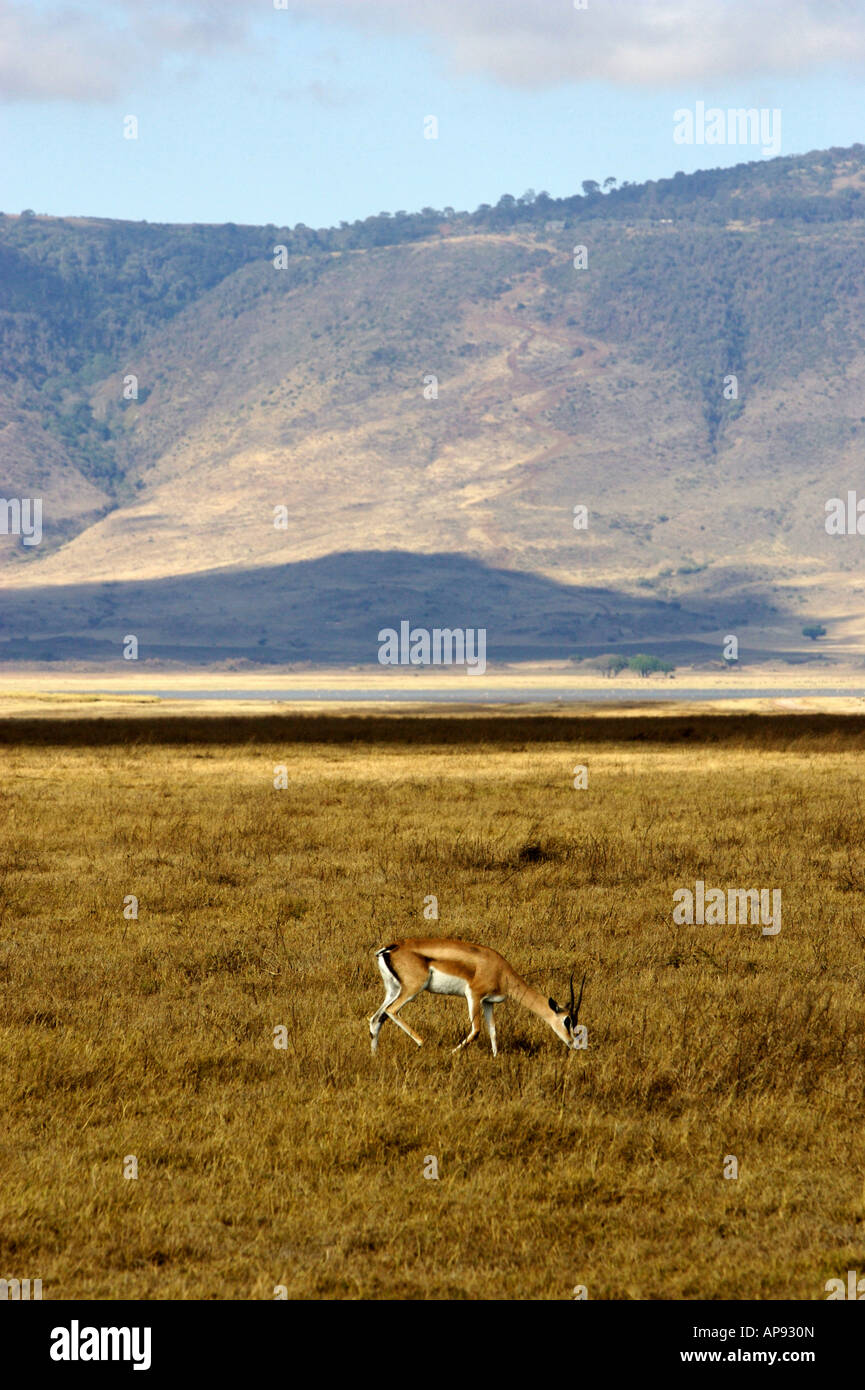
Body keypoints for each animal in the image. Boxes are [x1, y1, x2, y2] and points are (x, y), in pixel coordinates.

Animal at [369, 938, 586, 1056]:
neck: (501, 971)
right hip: (412, 989)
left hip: (393, 990)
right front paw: (451, 1053)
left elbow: (493, 1031)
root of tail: (391, 948)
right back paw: (422, 1042)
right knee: (391, 1011)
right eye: (567, 1020)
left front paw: (496, 1058)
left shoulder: (488, 1002)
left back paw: (375, 1055)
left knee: (376, 1018)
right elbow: (476, 1030)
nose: (572, 1043)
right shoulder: (473, 995)